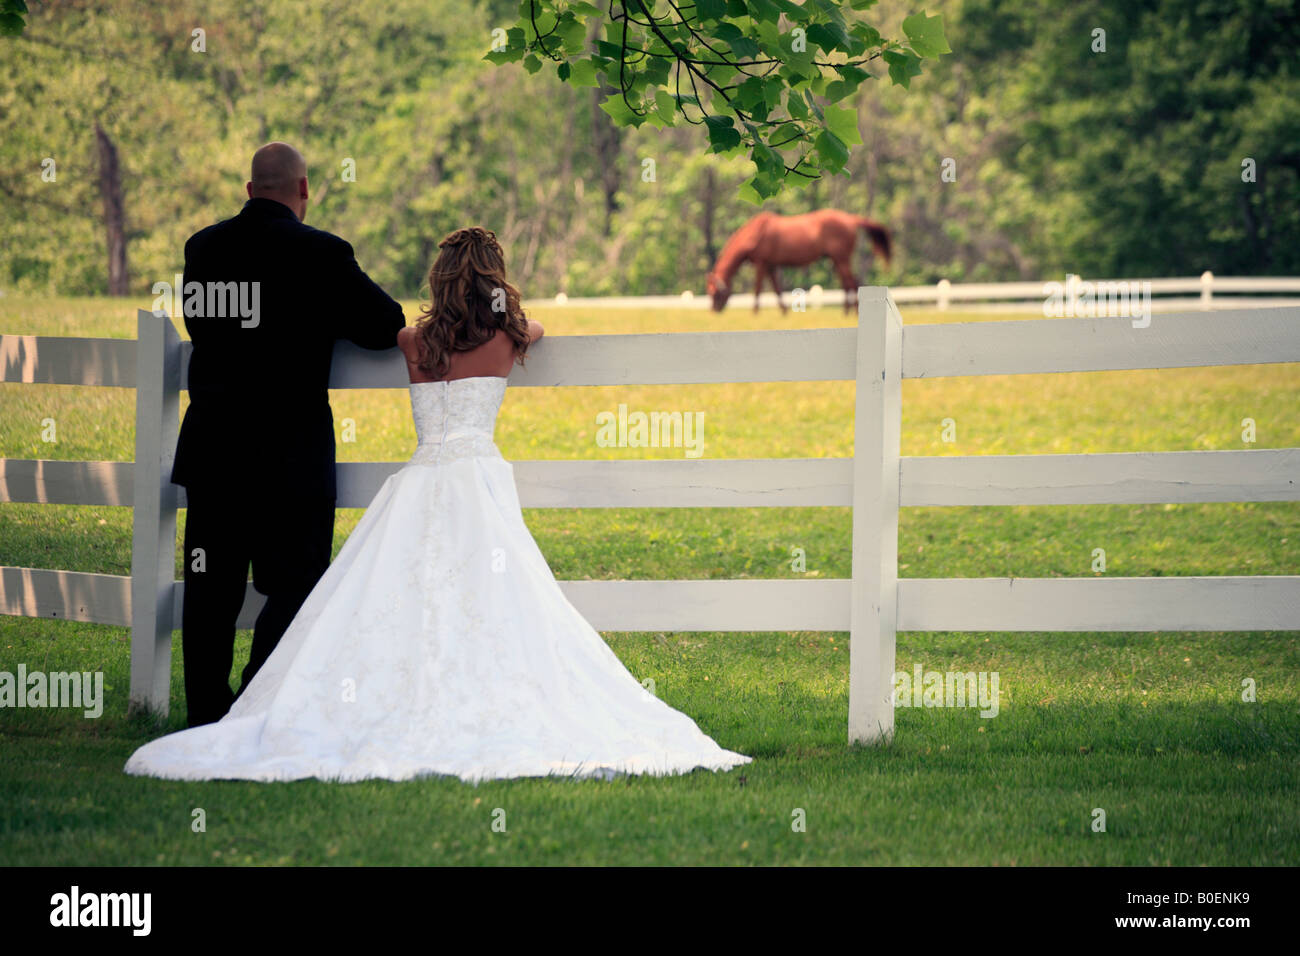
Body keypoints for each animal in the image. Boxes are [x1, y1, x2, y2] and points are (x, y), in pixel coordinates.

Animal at [702, 209, 894, 314]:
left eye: (715, 294)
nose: (713, 311)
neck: (755, 233)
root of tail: (851, 219)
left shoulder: (762, 263)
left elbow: (758, 289)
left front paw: (755, 313)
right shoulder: (771, 265)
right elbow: (777, 290)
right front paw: (784, 312)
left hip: (841, 258)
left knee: (852, 283)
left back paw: (853, 313)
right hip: (837, 259)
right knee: (846, 284)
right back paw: (846, 313)